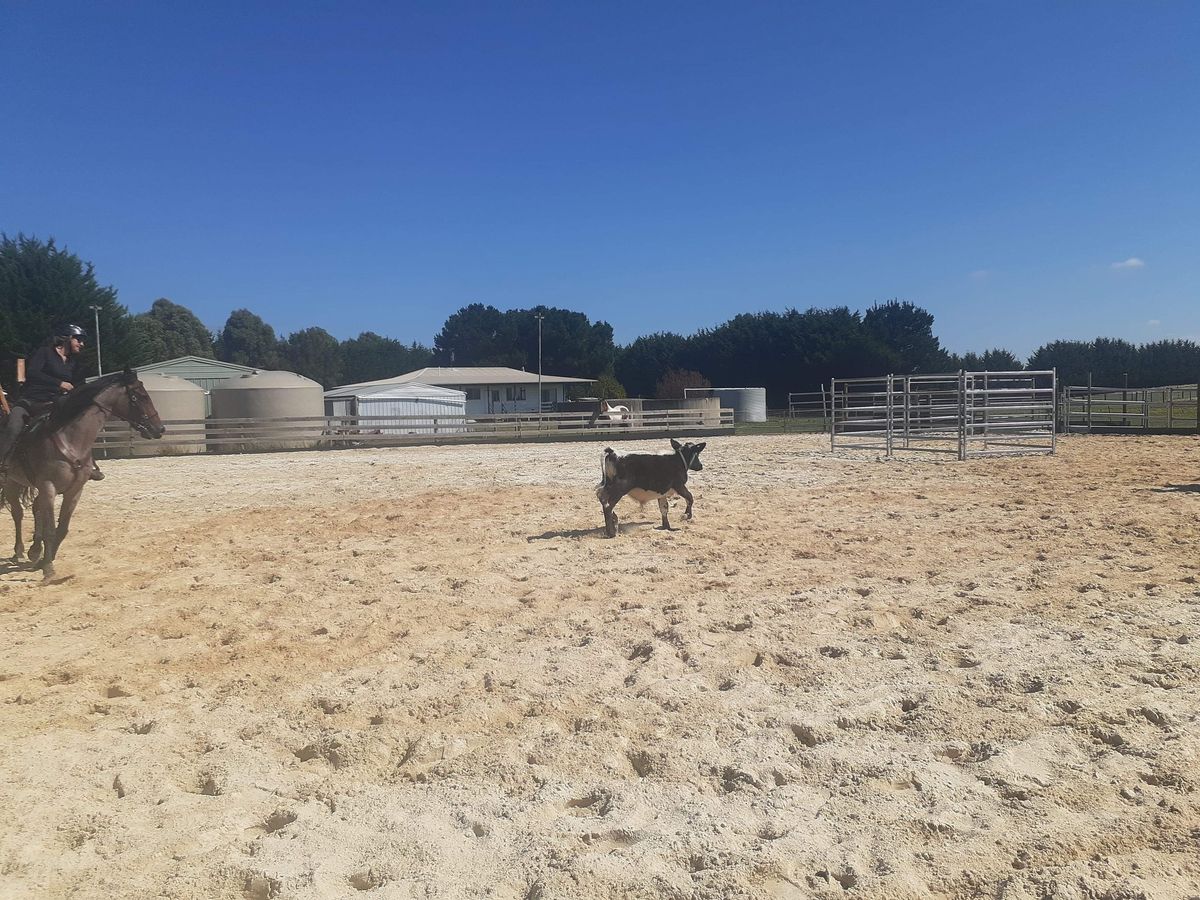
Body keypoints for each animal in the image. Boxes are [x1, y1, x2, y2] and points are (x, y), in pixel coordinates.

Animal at [1, 369, 164, 580]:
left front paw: (44, 560)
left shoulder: (74, 491)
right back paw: (19, 551)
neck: (70, 440)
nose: (159, 429)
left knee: (34, 509)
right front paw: (48, 569)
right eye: (140, 396)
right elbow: (51, 529)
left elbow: (61, 529)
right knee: (18, 513)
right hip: (9, 483)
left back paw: (34, 551)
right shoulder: (48, 487)